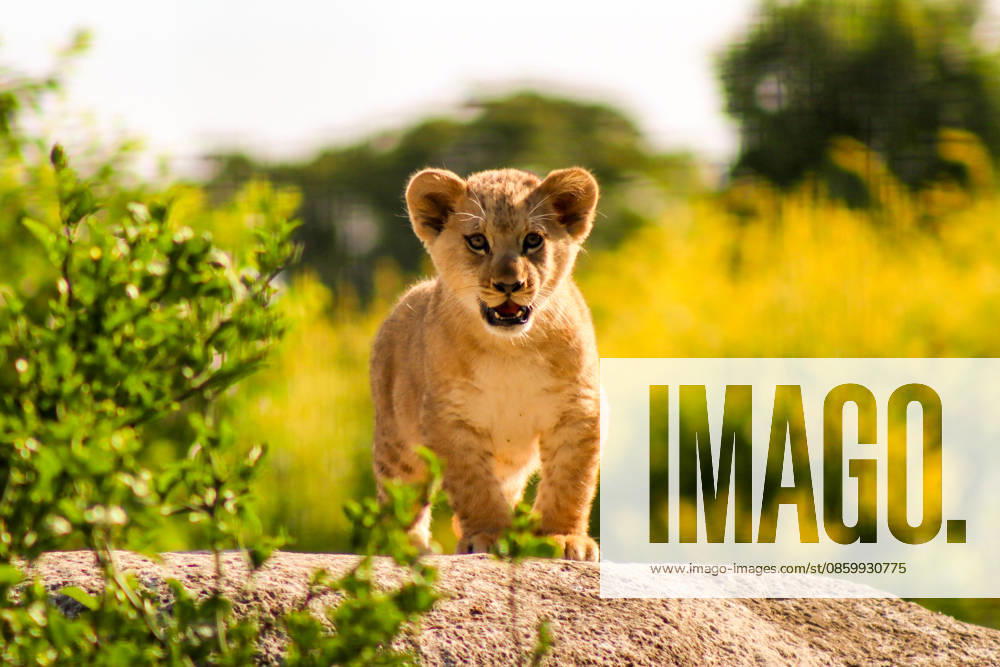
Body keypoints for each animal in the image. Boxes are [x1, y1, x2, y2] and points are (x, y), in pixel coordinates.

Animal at [369, 166, 601, 560]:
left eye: (533, 240)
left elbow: (571, 481)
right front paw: (490, 535)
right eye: (477, 241)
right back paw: (408, 549)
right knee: (400, 496)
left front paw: (562, 537)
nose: (510, 284)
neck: (510, 348)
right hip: (396, 442)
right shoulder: (448, 416)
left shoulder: (576, 408)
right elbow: (473, 485)